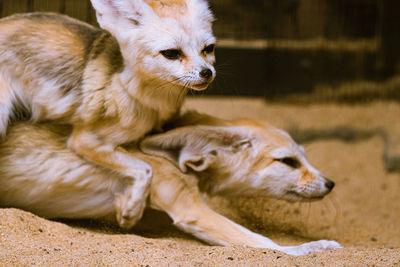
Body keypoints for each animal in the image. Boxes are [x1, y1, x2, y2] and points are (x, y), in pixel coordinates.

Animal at [0, 0, 216, 227]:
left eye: (208, 49)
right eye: (172, 53)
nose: (207, 73)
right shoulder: (85, 140)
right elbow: (146, 169)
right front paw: (132, 208)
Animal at [0, 112, 342, 256]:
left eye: (304, 156)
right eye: (288, 162)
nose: (330, 183)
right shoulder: (190, 209)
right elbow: (267, 244)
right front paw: (312, 248)